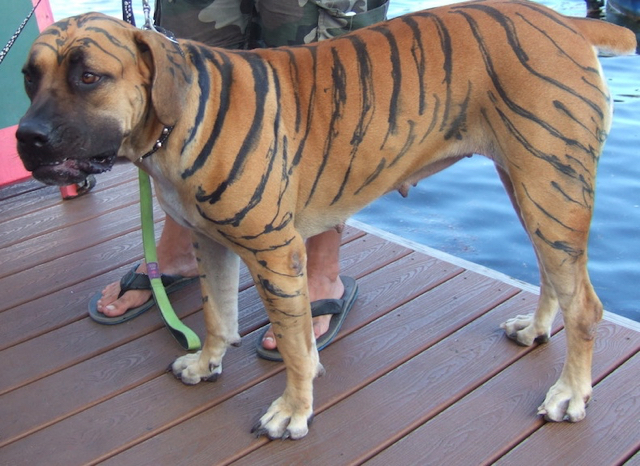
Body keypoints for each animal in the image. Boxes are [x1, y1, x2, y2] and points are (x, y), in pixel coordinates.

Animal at [17, 0, 636, 438]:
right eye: (28, 75)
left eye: (89, 77)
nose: (26, 137)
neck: (180, 113)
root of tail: (566, 22)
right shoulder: (209, 242)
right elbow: (217, 313)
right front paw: (208, 363)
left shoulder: (274, 253)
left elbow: (294, 345)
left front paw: (292, 411)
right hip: (534, 191)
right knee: (555, 276)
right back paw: (535, 329)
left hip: (551, 189)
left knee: (585, 304)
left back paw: (569, 394)